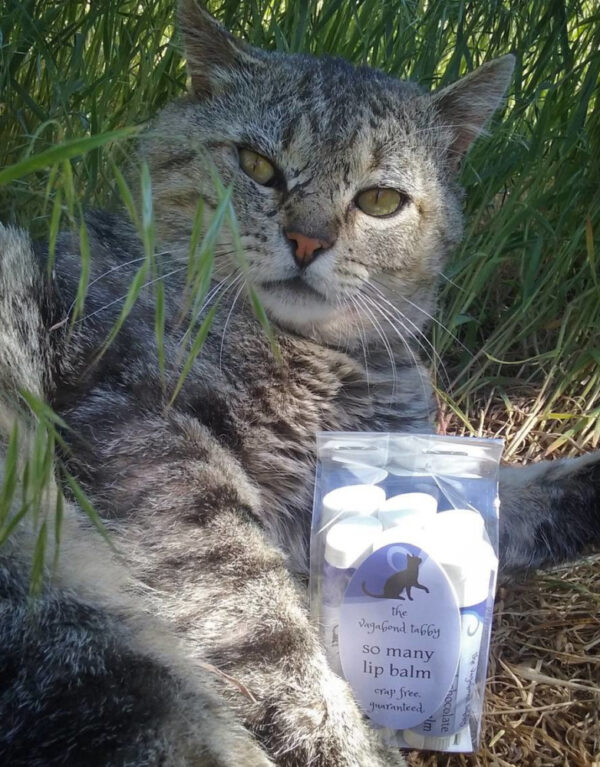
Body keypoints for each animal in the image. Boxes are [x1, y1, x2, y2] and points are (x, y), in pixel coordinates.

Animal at [1, 1, 600, 767]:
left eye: (381, 201)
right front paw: (340, 735)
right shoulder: (149, 435)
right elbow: (266, 623)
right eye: (258, 165)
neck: (322, 362)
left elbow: (531, 495)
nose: (309, 240)